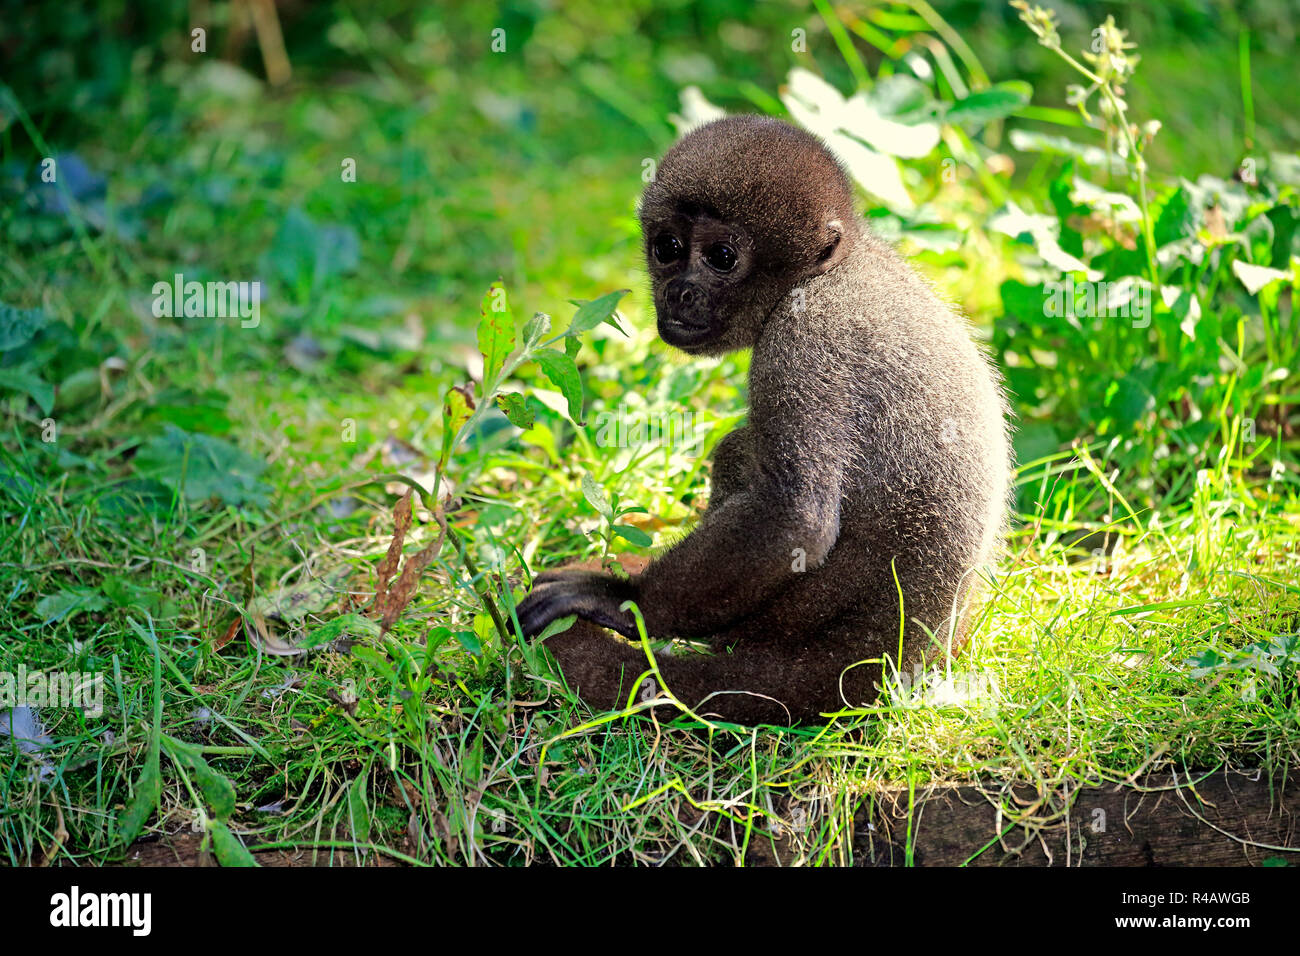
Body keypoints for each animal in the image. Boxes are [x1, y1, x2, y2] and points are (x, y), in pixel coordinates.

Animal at [512, 113, 1008, 723]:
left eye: (722, 257)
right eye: (667, 247)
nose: (680, 291)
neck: (831, 268)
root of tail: (879, 659)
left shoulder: (803, 339)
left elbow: (794, 519)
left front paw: (623, 602)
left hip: (789, 615)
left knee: (739, 450)